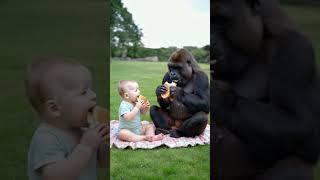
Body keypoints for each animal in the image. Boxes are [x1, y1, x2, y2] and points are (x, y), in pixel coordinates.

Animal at [212, 0, 320, 180]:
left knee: (293, 162)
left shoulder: (295, 49)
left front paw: (219, 99)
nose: (211, 43)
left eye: (220, 20)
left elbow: (303, 126)